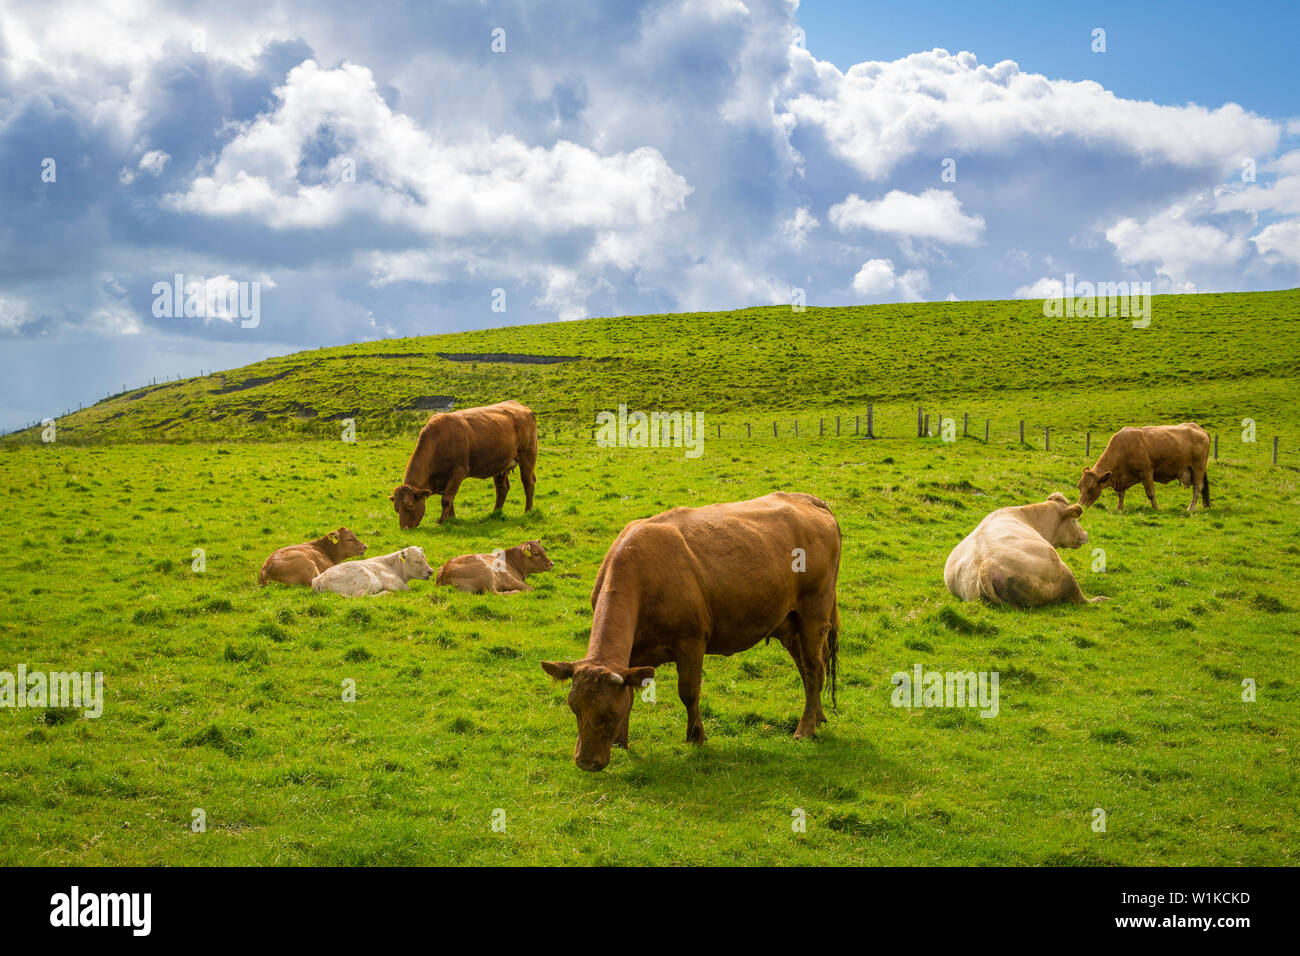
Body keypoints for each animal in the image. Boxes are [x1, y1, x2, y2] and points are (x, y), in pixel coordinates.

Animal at [392, 398, 540, 530]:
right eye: (396, 508)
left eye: (410, 505)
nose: (404, 528)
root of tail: (520, 406)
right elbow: (450, 499)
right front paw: (451, 520)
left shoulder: (458, 471)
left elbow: (446, 499)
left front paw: (441, 522)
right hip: (501, 464)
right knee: (502, 488)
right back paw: (495, 513)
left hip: (527, 455)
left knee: (528, 483)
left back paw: (528, 511)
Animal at [538, 494, 842, 770]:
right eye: (574, 707)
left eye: (609, 713)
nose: (586, 762)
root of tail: (807, 499)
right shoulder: (632, 657)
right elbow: (632, 693)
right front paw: (620, 742)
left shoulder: (691, 642)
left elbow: (689, 692)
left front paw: (696, 736)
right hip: (788, 621)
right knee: (806, 666)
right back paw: (818, 716)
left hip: (814, 610)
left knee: (814, 667)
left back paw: (805, 729)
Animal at [946, 489, 1107, 608]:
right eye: (1074, 520)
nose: (1085, 534)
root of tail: (987, 565)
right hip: (1063, 573)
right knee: (1080, 599)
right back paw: (1102, 599)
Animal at [1076, 421, 1206, 512]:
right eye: (1079, 487)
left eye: (1091, 489)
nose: (1080, 505)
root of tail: (1198, 428)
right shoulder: (1121, 478)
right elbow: (1121, 494)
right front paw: (1119, 508)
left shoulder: (1146, 473)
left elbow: (1150, 493)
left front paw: (1156, 508)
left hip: (1198, 468)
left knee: (1197, 488)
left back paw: (1191, 508)